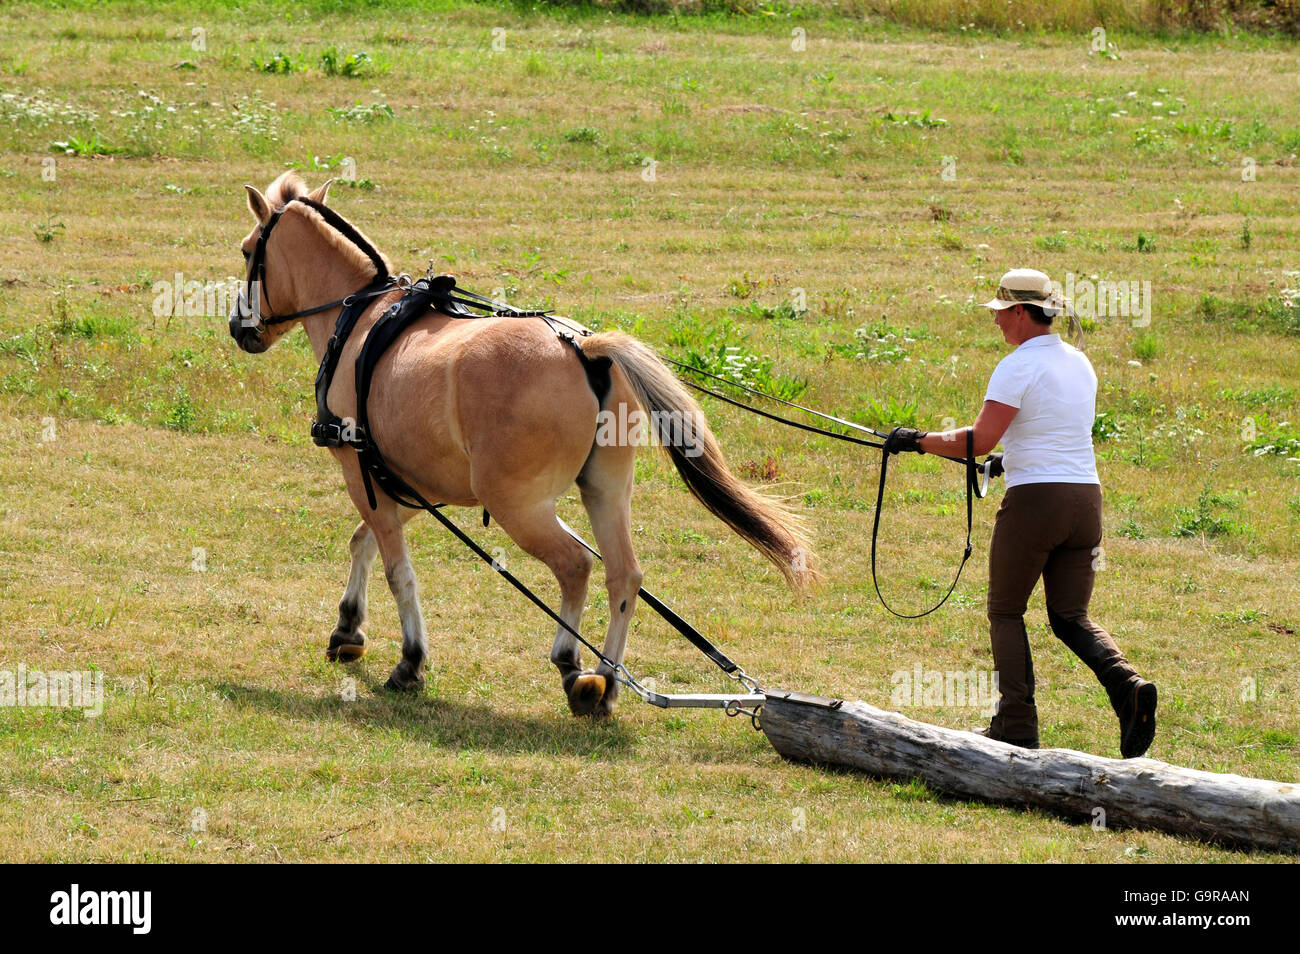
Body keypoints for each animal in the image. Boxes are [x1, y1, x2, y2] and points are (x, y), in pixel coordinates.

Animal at [227, 172, 815, 717]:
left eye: (249, 250)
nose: (237, 325)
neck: (362, 320)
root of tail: (585, 348)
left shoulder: (361, 471)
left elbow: (399, 571)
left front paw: (410, 661)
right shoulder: (410, 482)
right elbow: (362, 542)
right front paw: (347, 628)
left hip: (518, 505)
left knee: (576, 566)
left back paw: (571, 663)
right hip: (604, 491)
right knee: (623, 575)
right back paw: (605, 682)